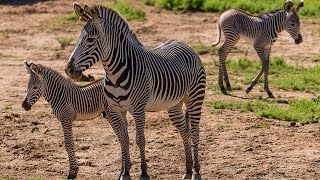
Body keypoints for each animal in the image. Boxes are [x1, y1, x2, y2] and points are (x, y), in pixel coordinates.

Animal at [64, 2, 206, 180]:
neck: (114, 74)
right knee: (185, 132)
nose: (69, 70)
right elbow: (124, 139)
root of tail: (185, 44)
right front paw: (125, 173)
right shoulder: (116, 110)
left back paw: (196, 171)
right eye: (78, 39)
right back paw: (187, 171)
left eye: (90, 40)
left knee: (195, 132)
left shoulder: (138, 109)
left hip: (195, 98)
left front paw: (144, 173)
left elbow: (140, 140)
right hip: (174, 104)